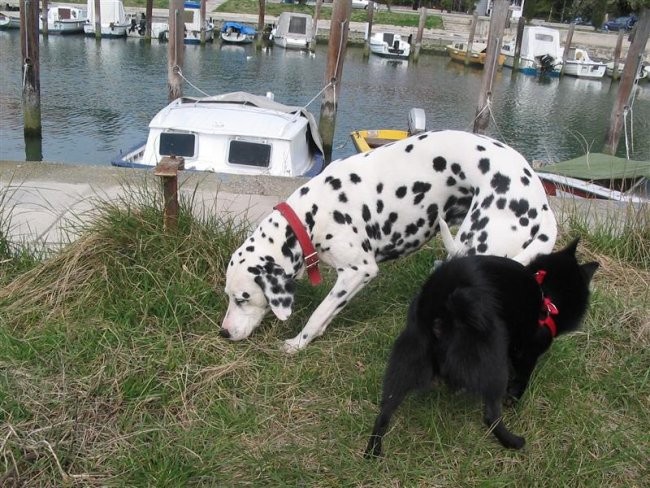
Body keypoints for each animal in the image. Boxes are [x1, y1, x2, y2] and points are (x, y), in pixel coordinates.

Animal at [220, 130, 556, 352]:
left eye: (242, 298)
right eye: (228, 296)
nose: (223, 333)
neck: (309, 217)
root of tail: (541, 205)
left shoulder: (358, 270)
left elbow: (318, 314)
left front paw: (297, 344)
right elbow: (328, 312)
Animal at [362, 238, 596, 456]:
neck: (546, 293)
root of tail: (443, 302)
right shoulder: (528, 351)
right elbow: (522, 377)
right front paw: (514, 398)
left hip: (408, 357)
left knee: (385, 409)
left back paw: (373, 449)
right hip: (492, 362)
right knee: (491, 415)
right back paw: (513, 441)